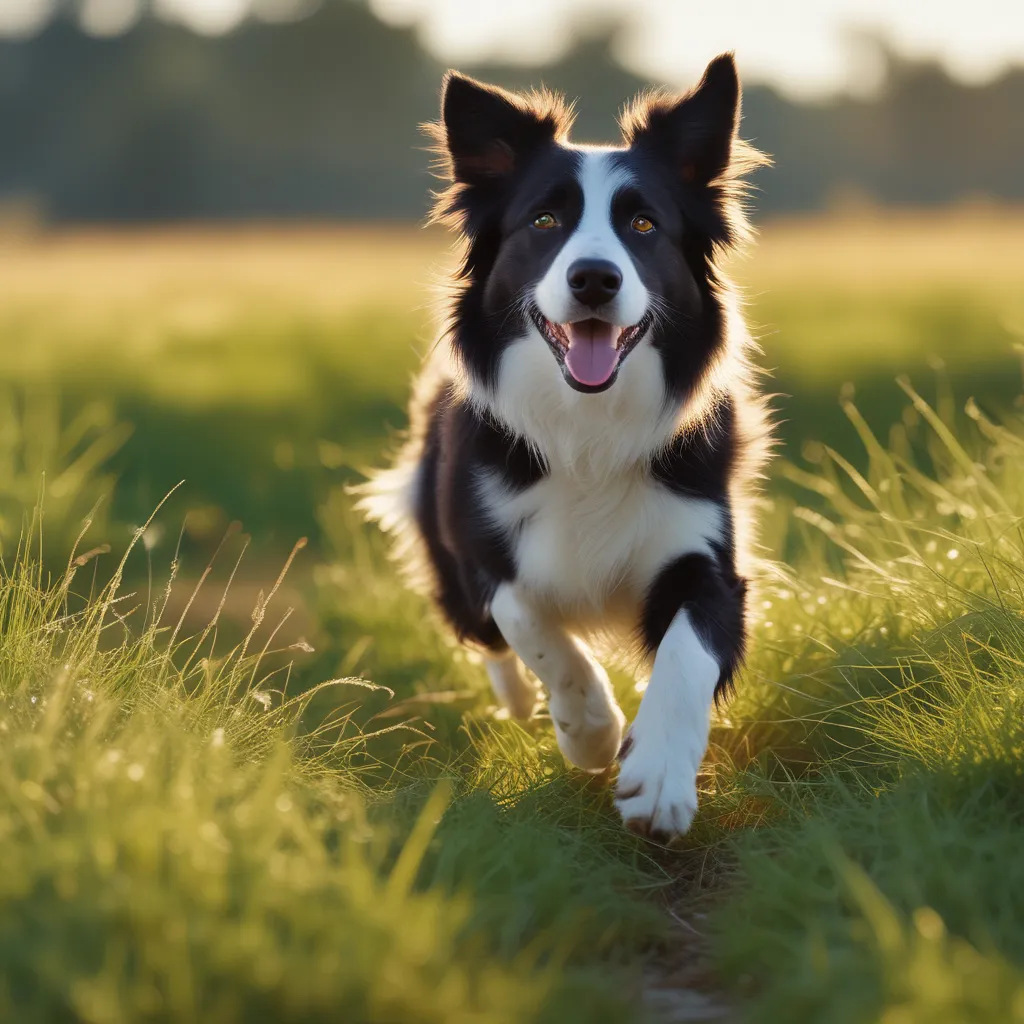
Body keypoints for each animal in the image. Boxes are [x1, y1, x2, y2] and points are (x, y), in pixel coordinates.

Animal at [360, 54, 770, 839]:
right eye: (544, 221)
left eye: (644, 224)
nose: (594, 279)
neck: (588, 425)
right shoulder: (483, 547)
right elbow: (532, 625)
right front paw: (590, 731)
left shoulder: (706, 556)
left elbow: (686, 654)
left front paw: (657, 779)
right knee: (486, 638)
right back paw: (524, 703)